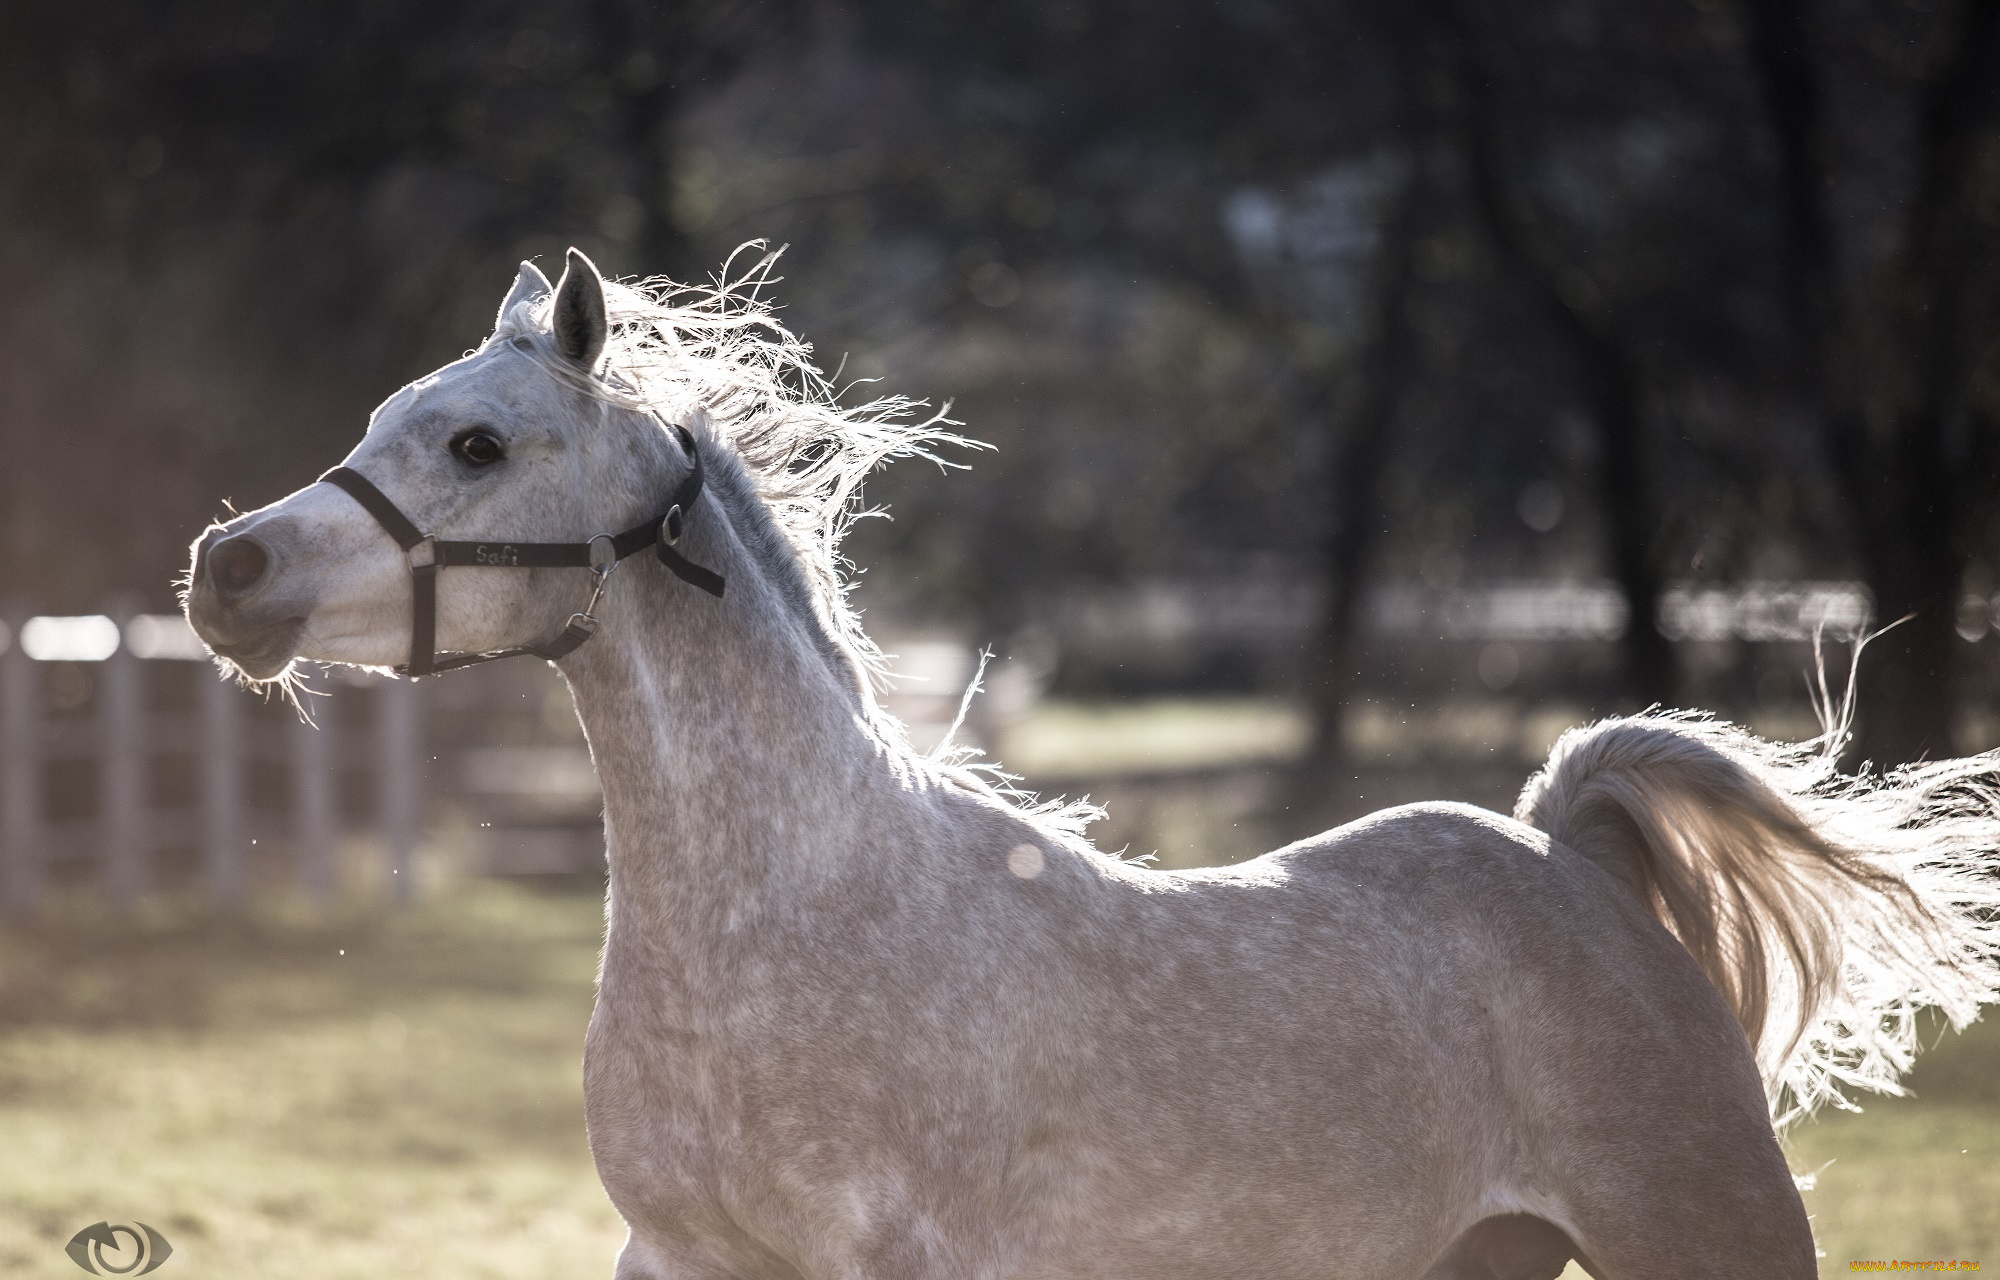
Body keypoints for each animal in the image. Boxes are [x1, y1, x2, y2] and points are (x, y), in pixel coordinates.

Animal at [184, 248, 2000, 1272]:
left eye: (478, 443)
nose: (226, 572)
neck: (791, 923)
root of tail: (1567, 854)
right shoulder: (679, 1261)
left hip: (1707, 1237)